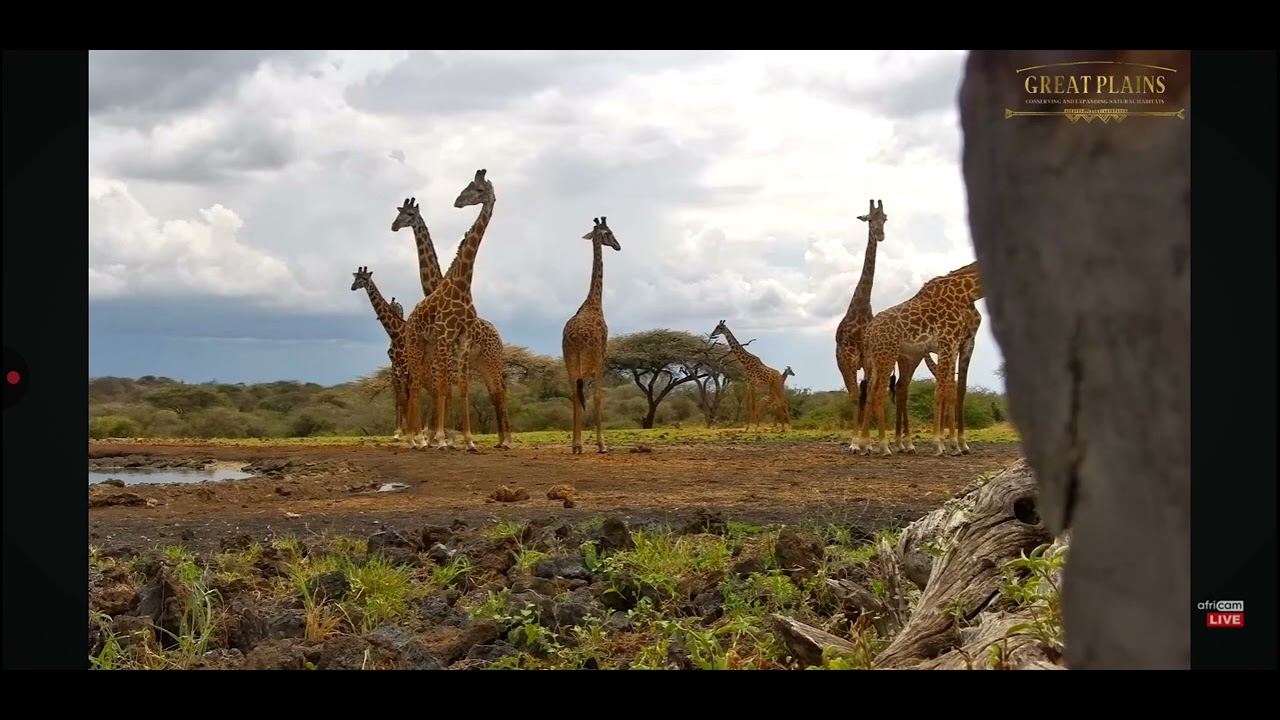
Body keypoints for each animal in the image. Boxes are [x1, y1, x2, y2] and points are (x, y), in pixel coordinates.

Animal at [349, 267, 411, 440]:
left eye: (364, 278)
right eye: (355, 278)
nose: (353, 287)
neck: (396, 334)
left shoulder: (405, 365)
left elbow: (404, 397)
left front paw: (406, 431)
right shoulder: (395, 367)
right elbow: (399, 398)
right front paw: (398, 432)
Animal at [391, 196, 513, 449]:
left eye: (410, 214)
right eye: (399, 213)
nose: (394, 226)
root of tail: (497, 333)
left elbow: (444, 390)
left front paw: (440, 437)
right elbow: (443, 390)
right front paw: (436, 436)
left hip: (492, 360)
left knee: (499, 391)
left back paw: (506, 440)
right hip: (479, 363)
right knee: (495, 391)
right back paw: (500, 440)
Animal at [561, 216, 621, 454]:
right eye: (610, 233)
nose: (618, 246)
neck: (594, 303)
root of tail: (574, 339)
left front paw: (579, 443)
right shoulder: (602, 354)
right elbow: (598, 395)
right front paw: (602, 444)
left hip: (569, 360)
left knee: (573, 395)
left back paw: (576, 445)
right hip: (589, 359)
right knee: (588, 395)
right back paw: (590, 444)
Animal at [856, 261, 984, 456]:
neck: (965, 294)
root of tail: (869, 333)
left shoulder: (956, 344)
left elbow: (953, 390)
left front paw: (955, 445)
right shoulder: (948, 342)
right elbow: (941, 391)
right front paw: (940, 445)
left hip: (881, 358)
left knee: (873, 391)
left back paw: (866, 445)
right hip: (888, 355)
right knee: (879, 392)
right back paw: (884, 446)